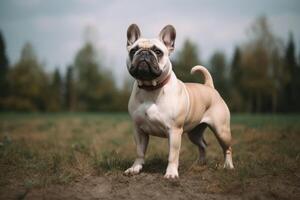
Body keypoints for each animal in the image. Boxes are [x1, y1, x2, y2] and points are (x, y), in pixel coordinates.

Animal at [123, 23, 233, 178]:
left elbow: (173, 155)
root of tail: (209, 86)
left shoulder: (174, 131)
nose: (144, 53)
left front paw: (171, 173)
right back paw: (200, 163)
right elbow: (139, 152)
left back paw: (228, 166)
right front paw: (135, 168)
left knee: (227, 148)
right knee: (202, 145)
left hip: (221, 130)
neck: (151, 87)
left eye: (157, 51)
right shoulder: (139, 130)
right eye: (133, 50)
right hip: (194, 132)